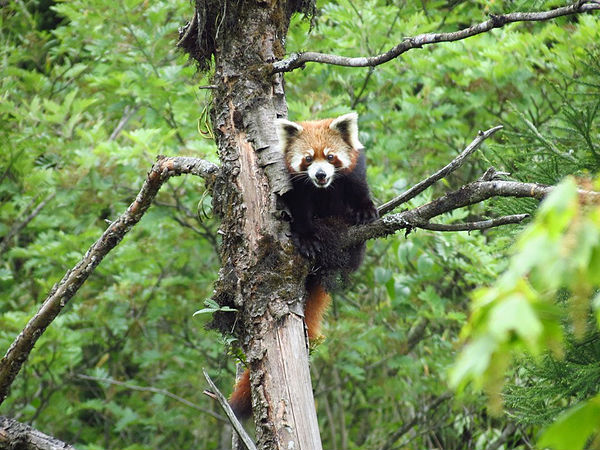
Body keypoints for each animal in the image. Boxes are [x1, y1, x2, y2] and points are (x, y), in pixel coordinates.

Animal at [227, 111, 378, 418]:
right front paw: (307, 237)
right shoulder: (297, 188)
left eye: (330, 157)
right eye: (308, 159)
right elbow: (300, 211)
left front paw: (365, 209)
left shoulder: (353, 173)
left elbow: (359, 189)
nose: (320, 175)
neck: (323, 189)